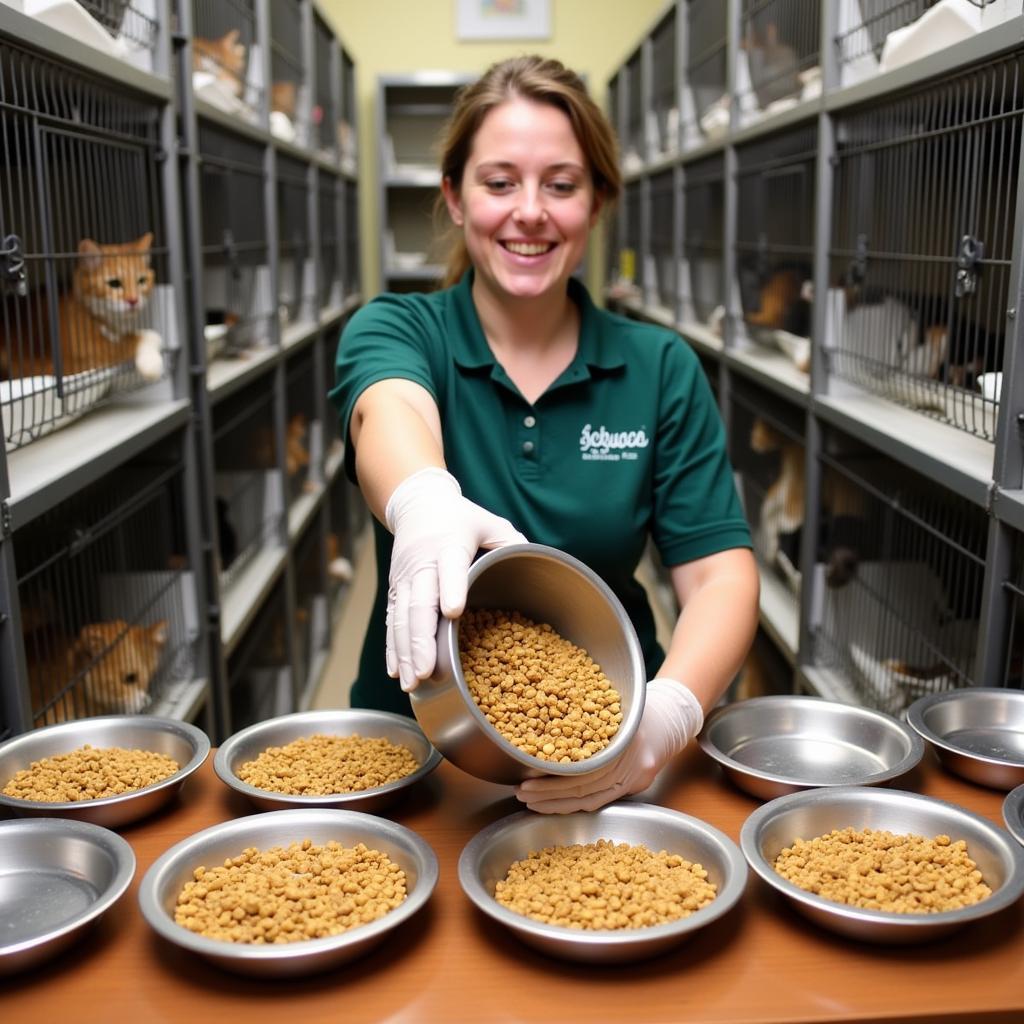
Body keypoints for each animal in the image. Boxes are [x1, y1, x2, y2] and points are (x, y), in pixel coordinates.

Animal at [0, 232, 162, 385]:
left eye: (141, 280)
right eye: (114, 283)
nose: (133, 300)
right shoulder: (92, 350)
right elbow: (137, 338)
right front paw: (152, 362)